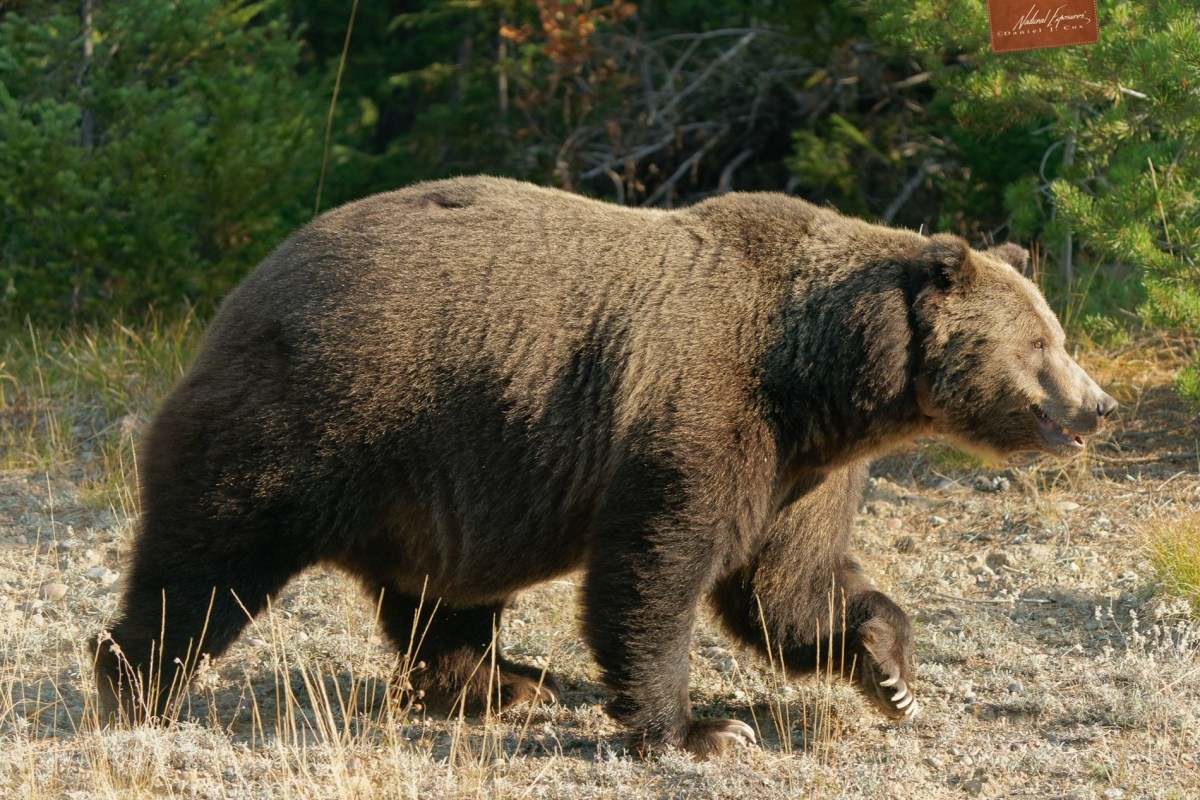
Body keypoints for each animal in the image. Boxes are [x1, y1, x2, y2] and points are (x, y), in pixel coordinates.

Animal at [93, 176, 1116, 756]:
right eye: (1040, 345)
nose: (1097, 407)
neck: (821, 373)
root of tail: (244, 290)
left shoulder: (804, 466)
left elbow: (788, 582)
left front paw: (889, 669)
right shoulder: (703, 405)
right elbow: (658, 565)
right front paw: (701, 728)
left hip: (442, 474)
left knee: (439, 595)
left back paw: (505, 682)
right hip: (322, 416)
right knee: (207, 560)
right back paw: (136, 685)